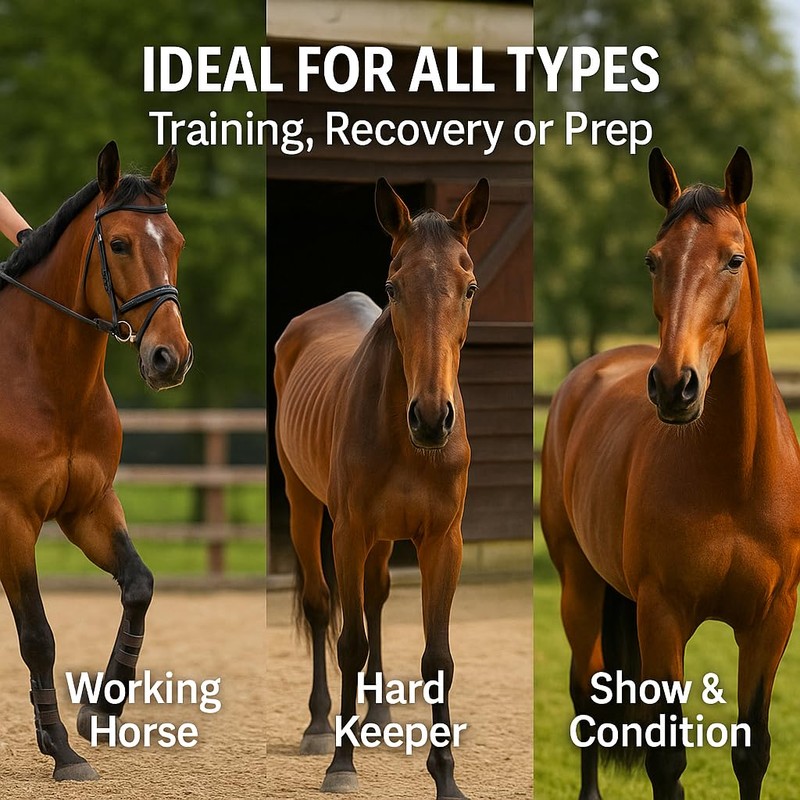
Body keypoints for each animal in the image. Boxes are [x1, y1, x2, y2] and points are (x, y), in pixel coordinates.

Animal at [0, 141, 192, 780]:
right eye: (120, 244)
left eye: (176, 242)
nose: (169, 357)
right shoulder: (11, 520)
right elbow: (37, 635)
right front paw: (61, 749)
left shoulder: (88, 507)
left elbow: (139, 585)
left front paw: (102, 710)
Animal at [274, 177, 489, 798]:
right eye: (393, 287)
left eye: (469, 287)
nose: (433, 418)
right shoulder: (348, 534)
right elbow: (348, 642)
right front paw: (340, 764)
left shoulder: (442, 541)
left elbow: (437, 659)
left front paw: (446, 777)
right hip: (304, 507)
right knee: (323, 607)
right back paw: (321, 726)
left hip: (385, 539)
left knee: (373, 599)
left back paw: (378, 716)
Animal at [541, 146, 800, 800]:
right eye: (653, 260)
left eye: (733, 259)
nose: (674, 385)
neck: (734, 479)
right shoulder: (662, 617)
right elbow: (666, 761)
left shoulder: (770, 623)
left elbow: (751, 753)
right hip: (578, 585)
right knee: (587, 696)